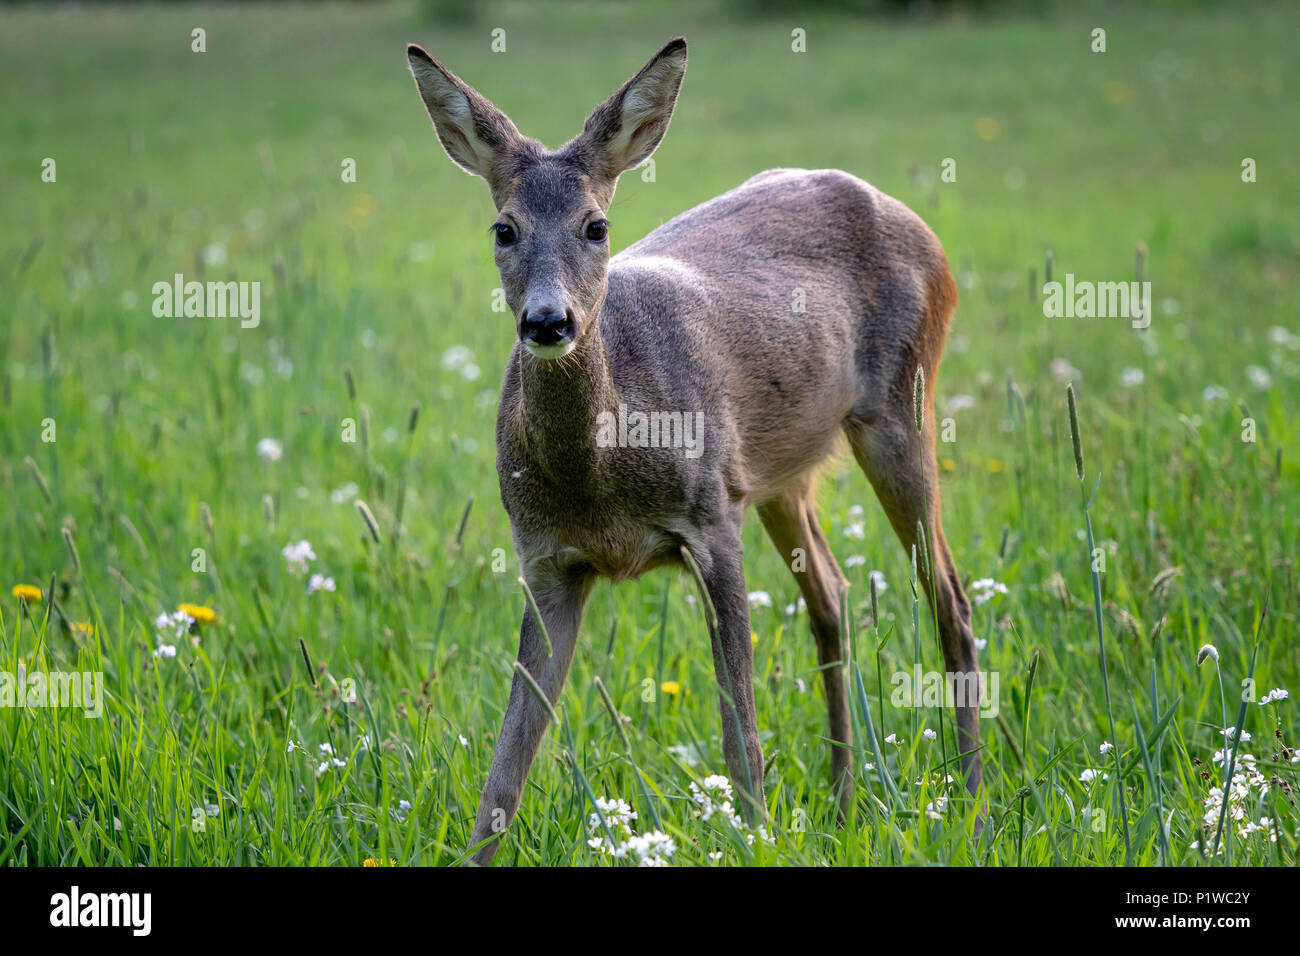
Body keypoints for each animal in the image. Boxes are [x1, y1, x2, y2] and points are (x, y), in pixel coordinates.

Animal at [406, 36, 983, 865]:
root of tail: (919, 226)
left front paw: (755, 834)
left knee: (950, 598)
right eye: (503, 229)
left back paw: (972, 807)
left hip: (900, 408)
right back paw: (844, 804)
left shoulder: (710, 518)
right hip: (779, 475)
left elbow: (740, 732)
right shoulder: (546, 559)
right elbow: (504, 769)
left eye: (596, 226)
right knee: (833, 593)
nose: (548, 322)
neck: (602, 470)